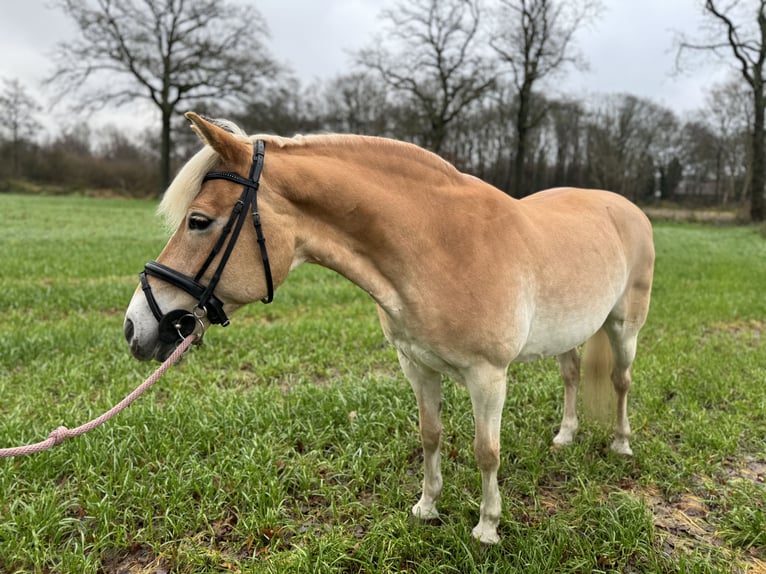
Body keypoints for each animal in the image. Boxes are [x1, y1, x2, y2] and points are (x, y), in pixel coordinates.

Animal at [124, 111, 656, 544]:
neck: (442, 246)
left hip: (625, 328)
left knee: (622, 381)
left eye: (198, 221)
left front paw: (487, 527)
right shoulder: (417, 366)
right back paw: (565, 436)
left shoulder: (488, 376)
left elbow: (486, 451)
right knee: (571, 374)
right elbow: (430, 435)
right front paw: (427, 507)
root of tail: (625, 206)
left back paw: (621, 444)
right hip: (570, 333)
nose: (135, 326)